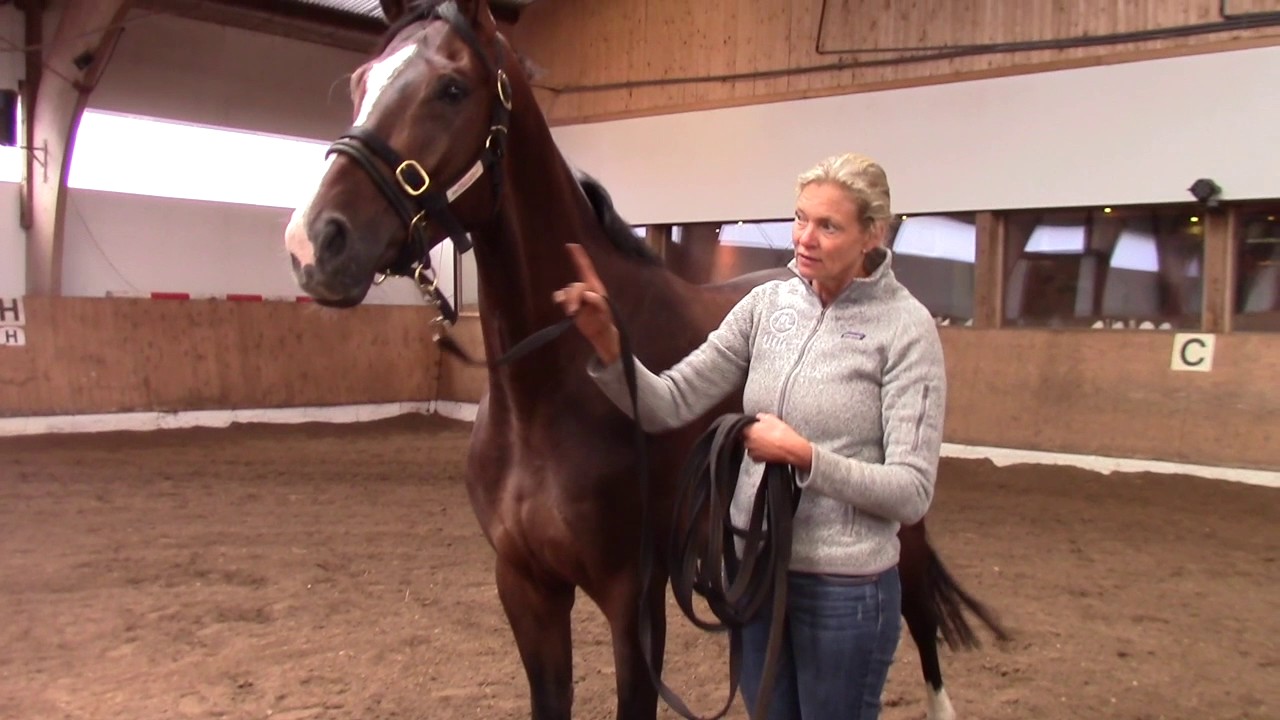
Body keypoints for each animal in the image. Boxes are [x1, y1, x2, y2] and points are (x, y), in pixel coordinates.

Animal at [282, 1, 1007, 718]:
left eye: (451, 88)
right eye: (360, 83)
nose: (315, 242)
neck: (546, 396)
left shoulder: (633, 596)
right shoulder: (527, 587)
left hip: (900, 531)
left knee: (919, 620)